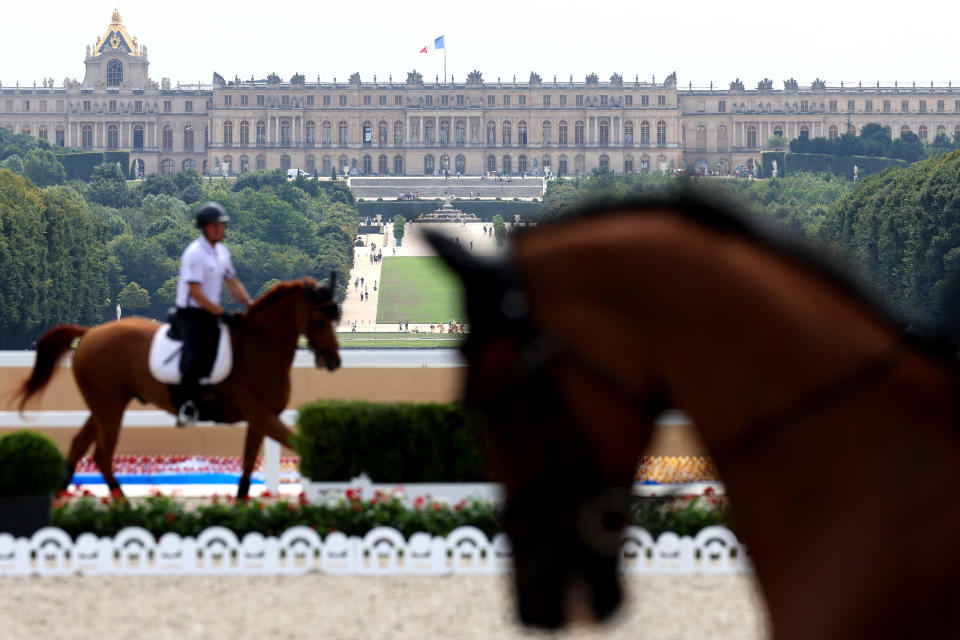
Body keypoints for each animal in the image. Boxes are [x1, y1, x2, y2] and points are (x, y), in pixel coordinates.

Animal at [12, 278, 342, 498]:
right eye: (320, 319)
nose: (334, 360)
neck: (258, 349)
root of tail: (90, 332)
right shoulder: (261, 415)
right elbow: (299, 444)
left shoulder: (260, 418)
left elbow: (248, 468)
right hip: (110, 407)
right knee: (102, 456)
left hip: (104, 406)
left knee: (81, 445)